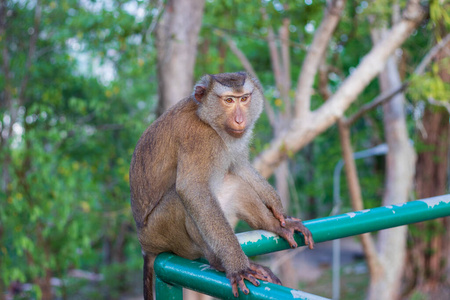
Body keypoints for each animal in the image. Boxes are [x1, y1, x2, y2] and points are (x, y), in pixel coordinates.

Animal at [128, 71, 314, 298]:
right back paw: (218, 262)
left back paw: (273, 226)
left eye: (244, 98)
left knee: (234, 184)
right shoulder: (198, 137)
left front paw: (279, 212)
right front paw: (238, 267)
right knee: (182, 200)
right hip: (161, 232)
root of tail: (145, 245)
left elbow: (239, 166)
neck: (207, 120)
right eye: (229, 100)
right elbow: (192, 190)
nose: (240, 119)